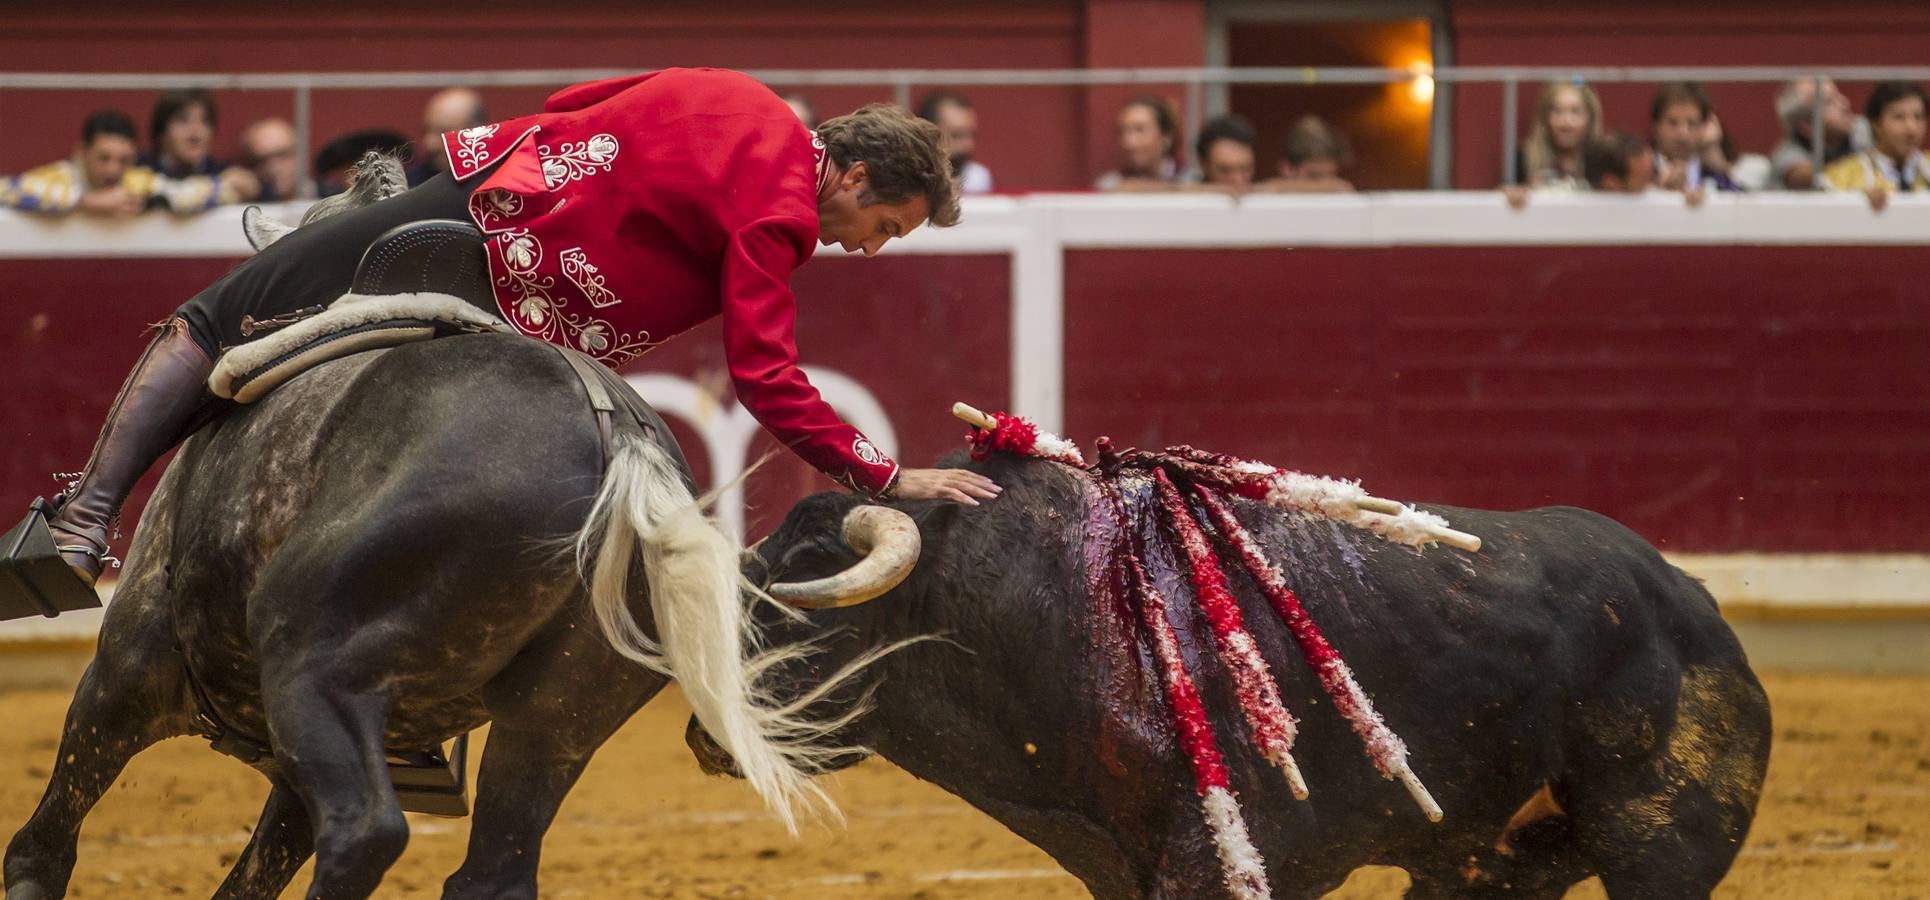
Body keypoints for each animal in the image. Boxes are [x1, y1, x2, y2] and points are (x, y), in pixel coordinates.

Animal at [698, 450, 1775, 900]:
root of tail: (1694, 606)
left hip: (1661, 850)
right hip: (1487, 869)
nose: (706, 735)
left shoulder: (1227, 865)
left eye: (795, 606)